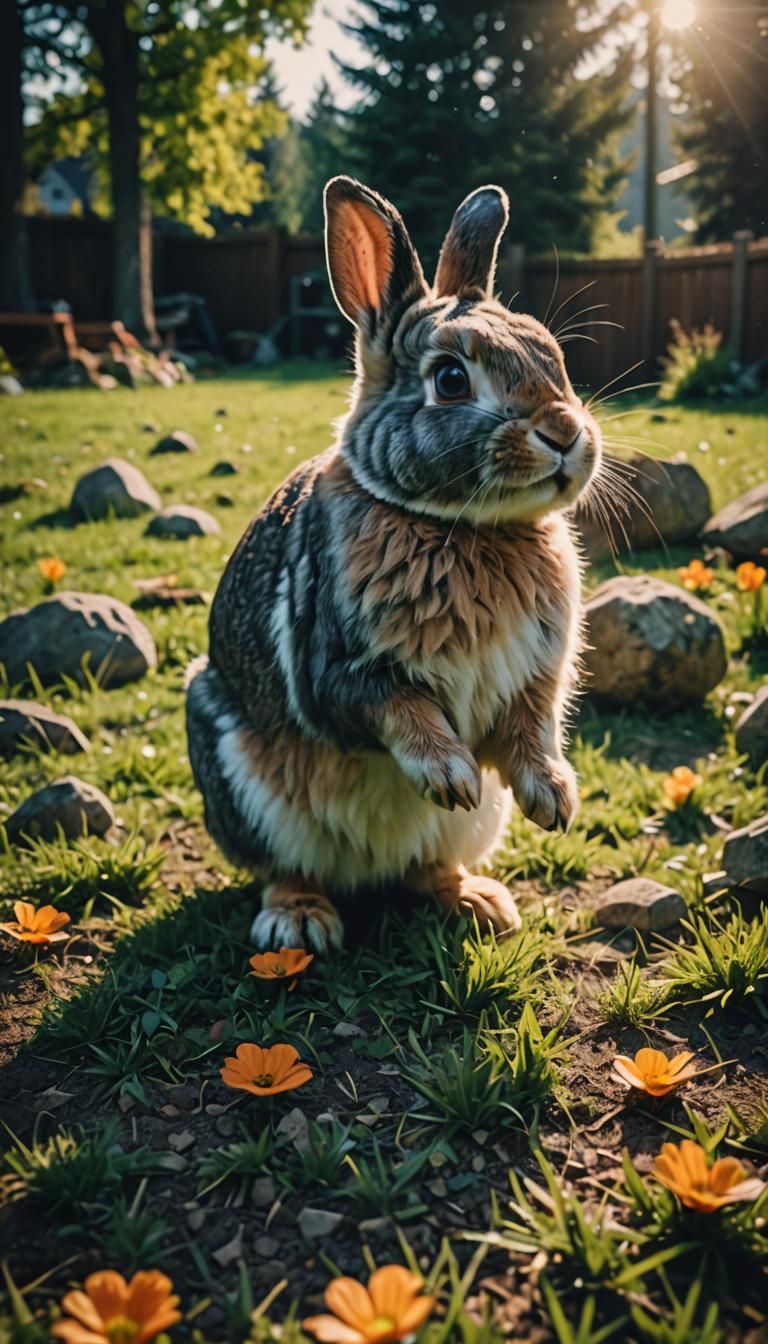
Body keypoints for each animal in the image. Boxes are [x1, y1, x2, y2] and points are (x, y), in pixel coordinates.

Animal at [186, 176, 602, 953]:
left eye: (553, 357)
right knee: (286, 865)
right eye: (450, 379)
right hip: (236, 773)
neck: (458, 526)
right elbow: (400, 708)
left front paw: (555, 798)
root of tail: (365, 872)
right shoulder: (341, 669)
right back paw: (299, 923)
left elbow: (531, 728)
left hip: (467, 832)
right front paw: (450, 774)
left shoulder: (535, 676)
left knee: (426, 866)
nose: (566, 434)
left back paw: (478, 903)